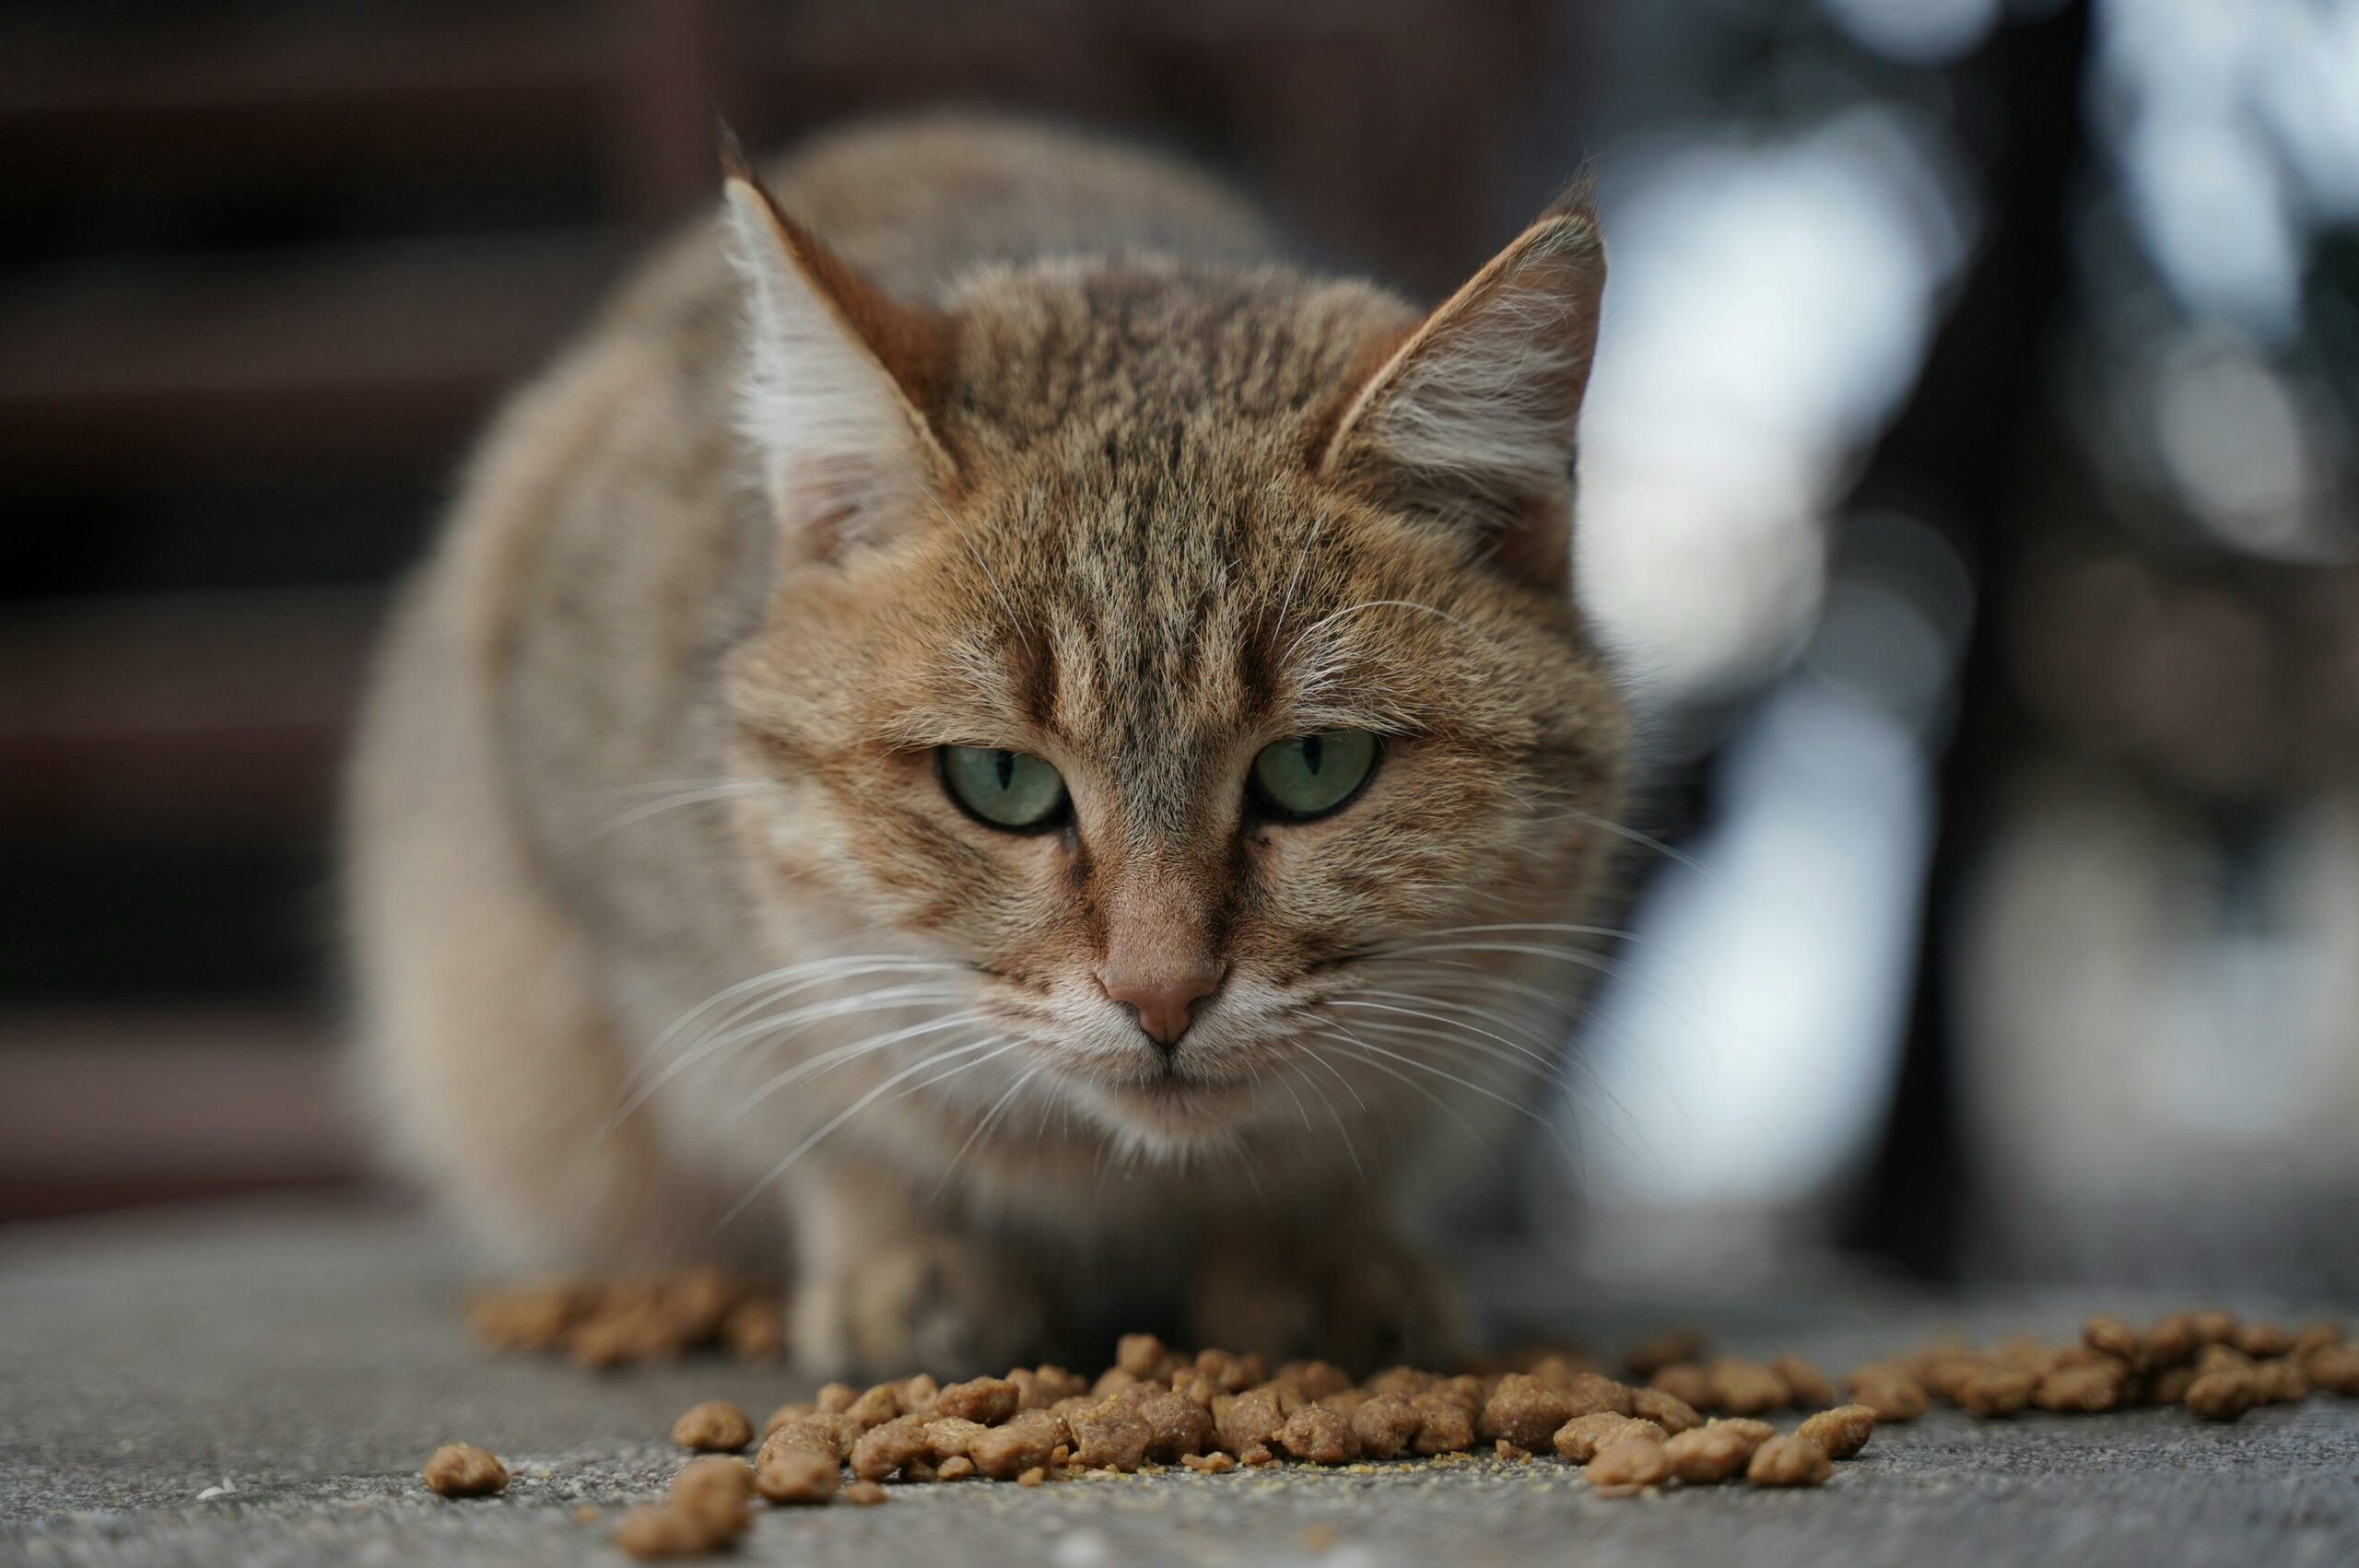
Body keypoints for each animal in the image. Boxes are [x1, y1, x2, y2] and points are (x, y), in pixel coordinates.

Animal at [344, 116, 1623, 1376]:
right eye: (1001, 779)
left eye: (1315, 768)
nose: (1161, 997)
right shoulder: (671, 958)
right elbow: (836, 1121)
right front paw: (908, 1257)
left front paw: (1321, 1253)